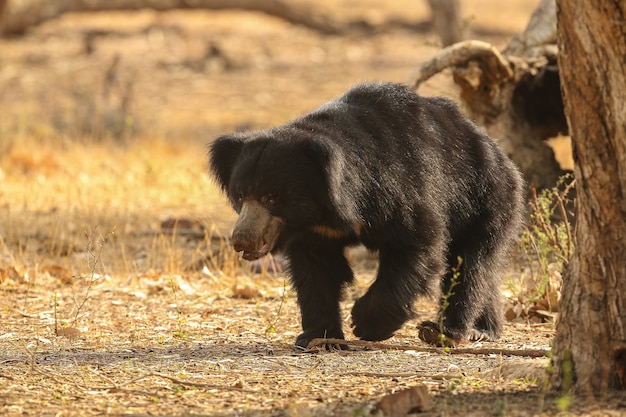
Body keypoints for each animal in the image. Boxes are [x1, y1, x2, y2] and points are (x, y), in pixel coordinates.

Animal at [208, 81, 520, 348]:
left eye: (271, 197)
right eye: (240, 195)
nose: (242, 240)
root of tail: (498, 153)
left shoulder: (403, 190)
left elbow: (417, 246)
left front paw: (365, 324)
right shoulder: (313, 234)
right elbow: (316, 271)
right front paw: (319, 337)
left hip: (485, 199)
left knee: (470, 266)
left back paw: (447, 332)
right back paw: (483, 330)